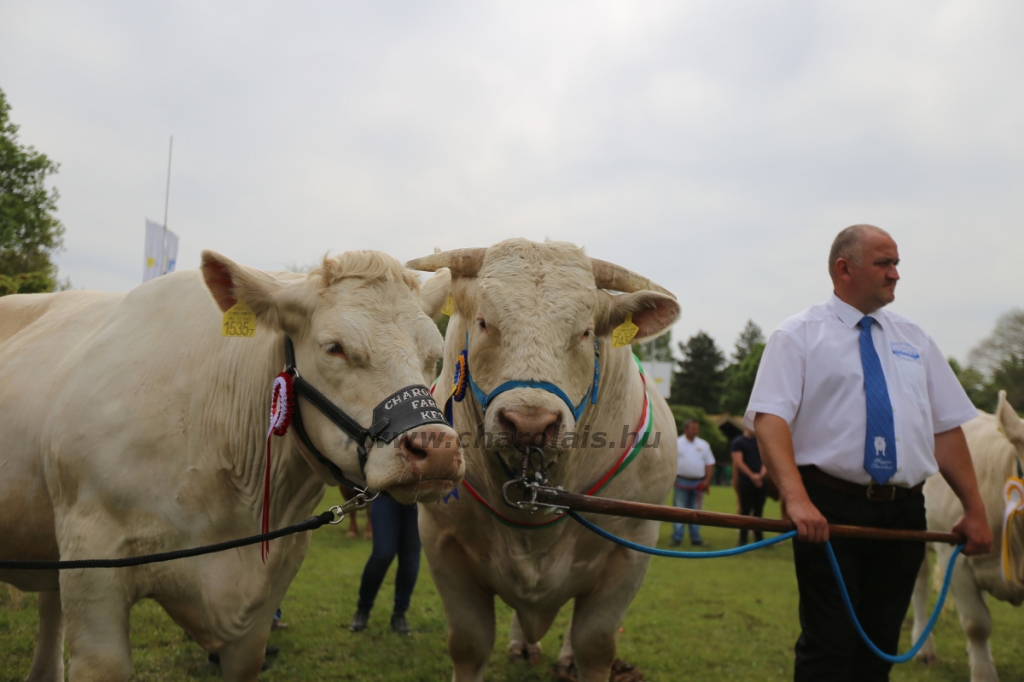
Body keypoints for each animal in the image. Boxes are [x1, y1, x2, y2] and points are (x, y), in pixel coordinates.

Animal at [405, 238, 679, 679]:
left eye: (585, 332)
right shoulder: (442, 540)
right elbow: (468, 644)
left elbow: (595, 644)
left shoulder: (632, 546)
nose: (530, 423)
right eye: (484, 322)